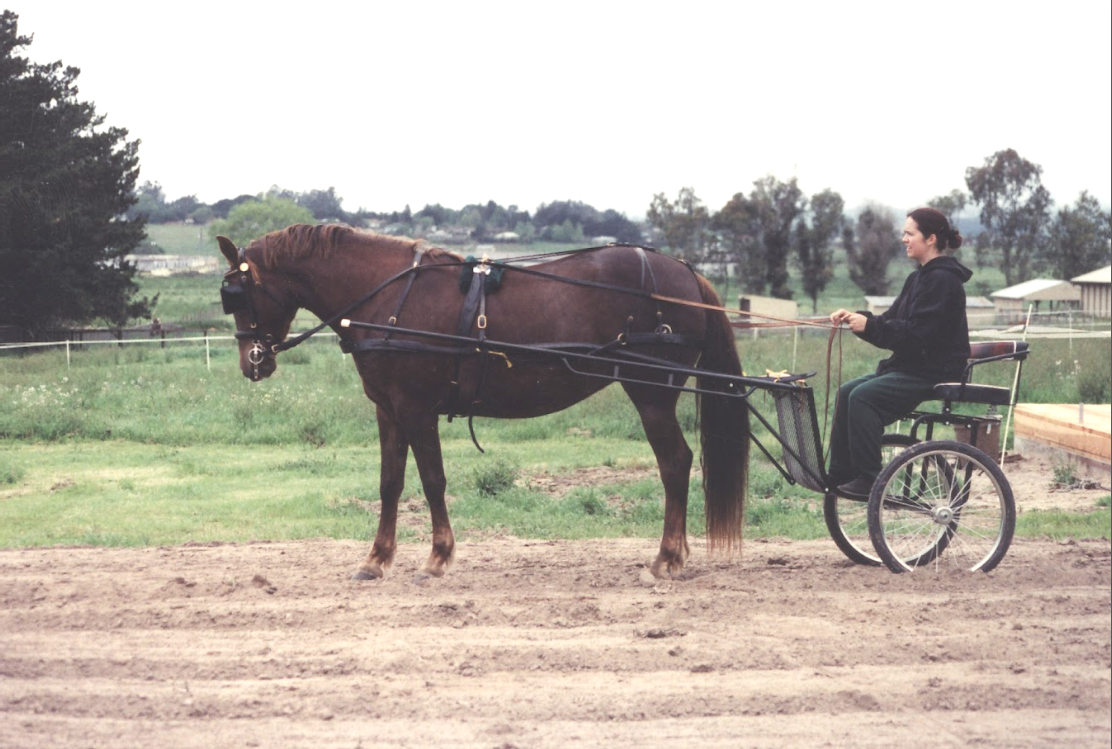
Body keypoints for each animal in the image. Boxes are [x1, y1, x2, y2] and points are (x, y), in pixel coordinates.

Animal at [217, 224, 749, 581]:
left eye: (236, 293)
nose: (252, 361)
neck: (389, 297)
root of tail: (685, 273)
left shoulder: (416, 410)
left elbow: (432, 480)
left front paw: (437, 557)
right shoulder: (388, 410)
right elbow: (390, 483)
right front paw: (376, 559)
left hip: (652, 394)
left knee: (675, 463)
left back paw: (667, 558)